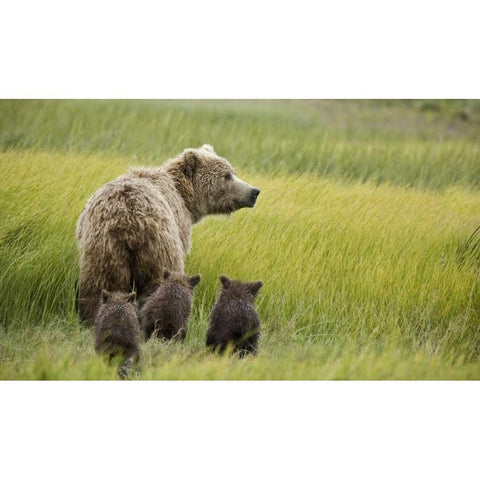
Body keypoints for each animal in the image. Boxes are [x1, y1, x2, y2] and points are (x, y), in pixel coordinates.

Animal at [76, 143, 260, 326]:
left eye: (232, 172)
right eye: (227, 175)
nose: (254, 191)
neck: (185, 197)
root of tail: (126, 219)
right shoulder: (179, 224)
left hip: (103, 247)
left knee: (102, 283)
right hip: (159, 246)